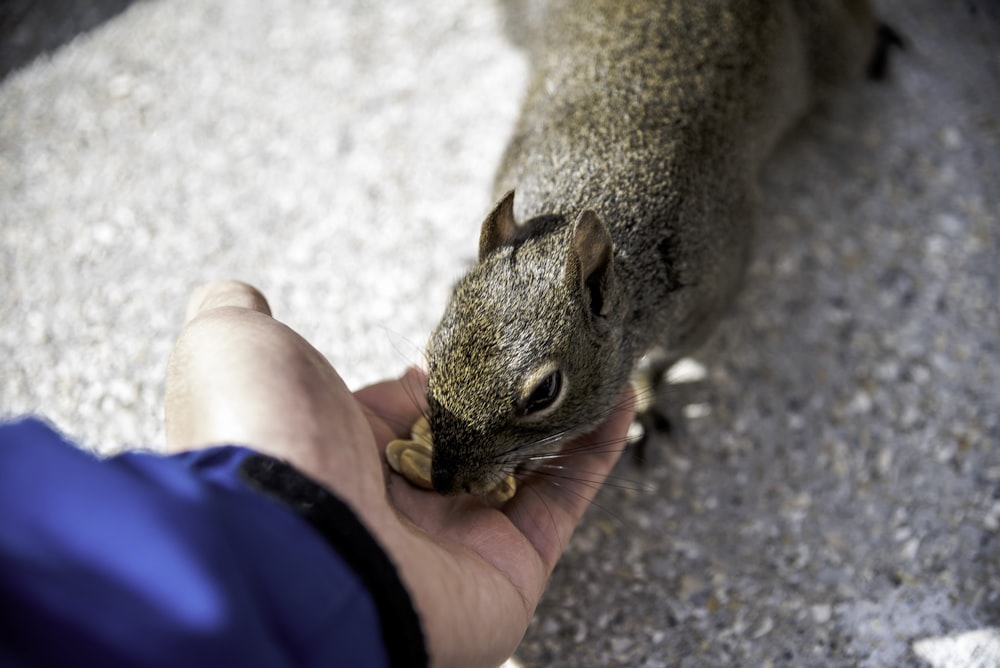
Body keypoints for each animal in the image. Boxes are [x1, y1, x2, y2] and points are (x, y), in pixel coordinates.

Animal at [422, 0, 884, 496]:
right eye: (432, 352)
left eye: (545, 393)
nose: (444, 481)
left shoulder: (706, 303)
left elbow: (663, 364)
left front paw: (643, 400)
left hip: (834, 52)